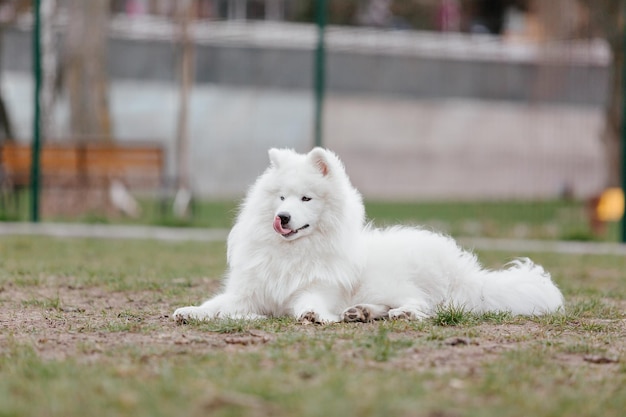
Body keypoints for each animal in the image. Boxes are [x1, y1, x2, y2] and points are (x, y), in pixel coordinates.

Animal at [173, 148, 564, 324]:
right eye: (281, 197)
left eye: (306, 199)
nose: (282, 218)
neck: (293, 252)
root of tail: (463, 270)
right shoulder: (249, 294)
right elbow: (216, 305)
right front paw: (189, 311)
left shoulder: (318, 288)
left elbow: (309, 303)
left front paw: (313, 315)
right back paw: (359, 312)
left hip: (392, 279)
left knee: (426, 305)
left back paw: (398, 313)